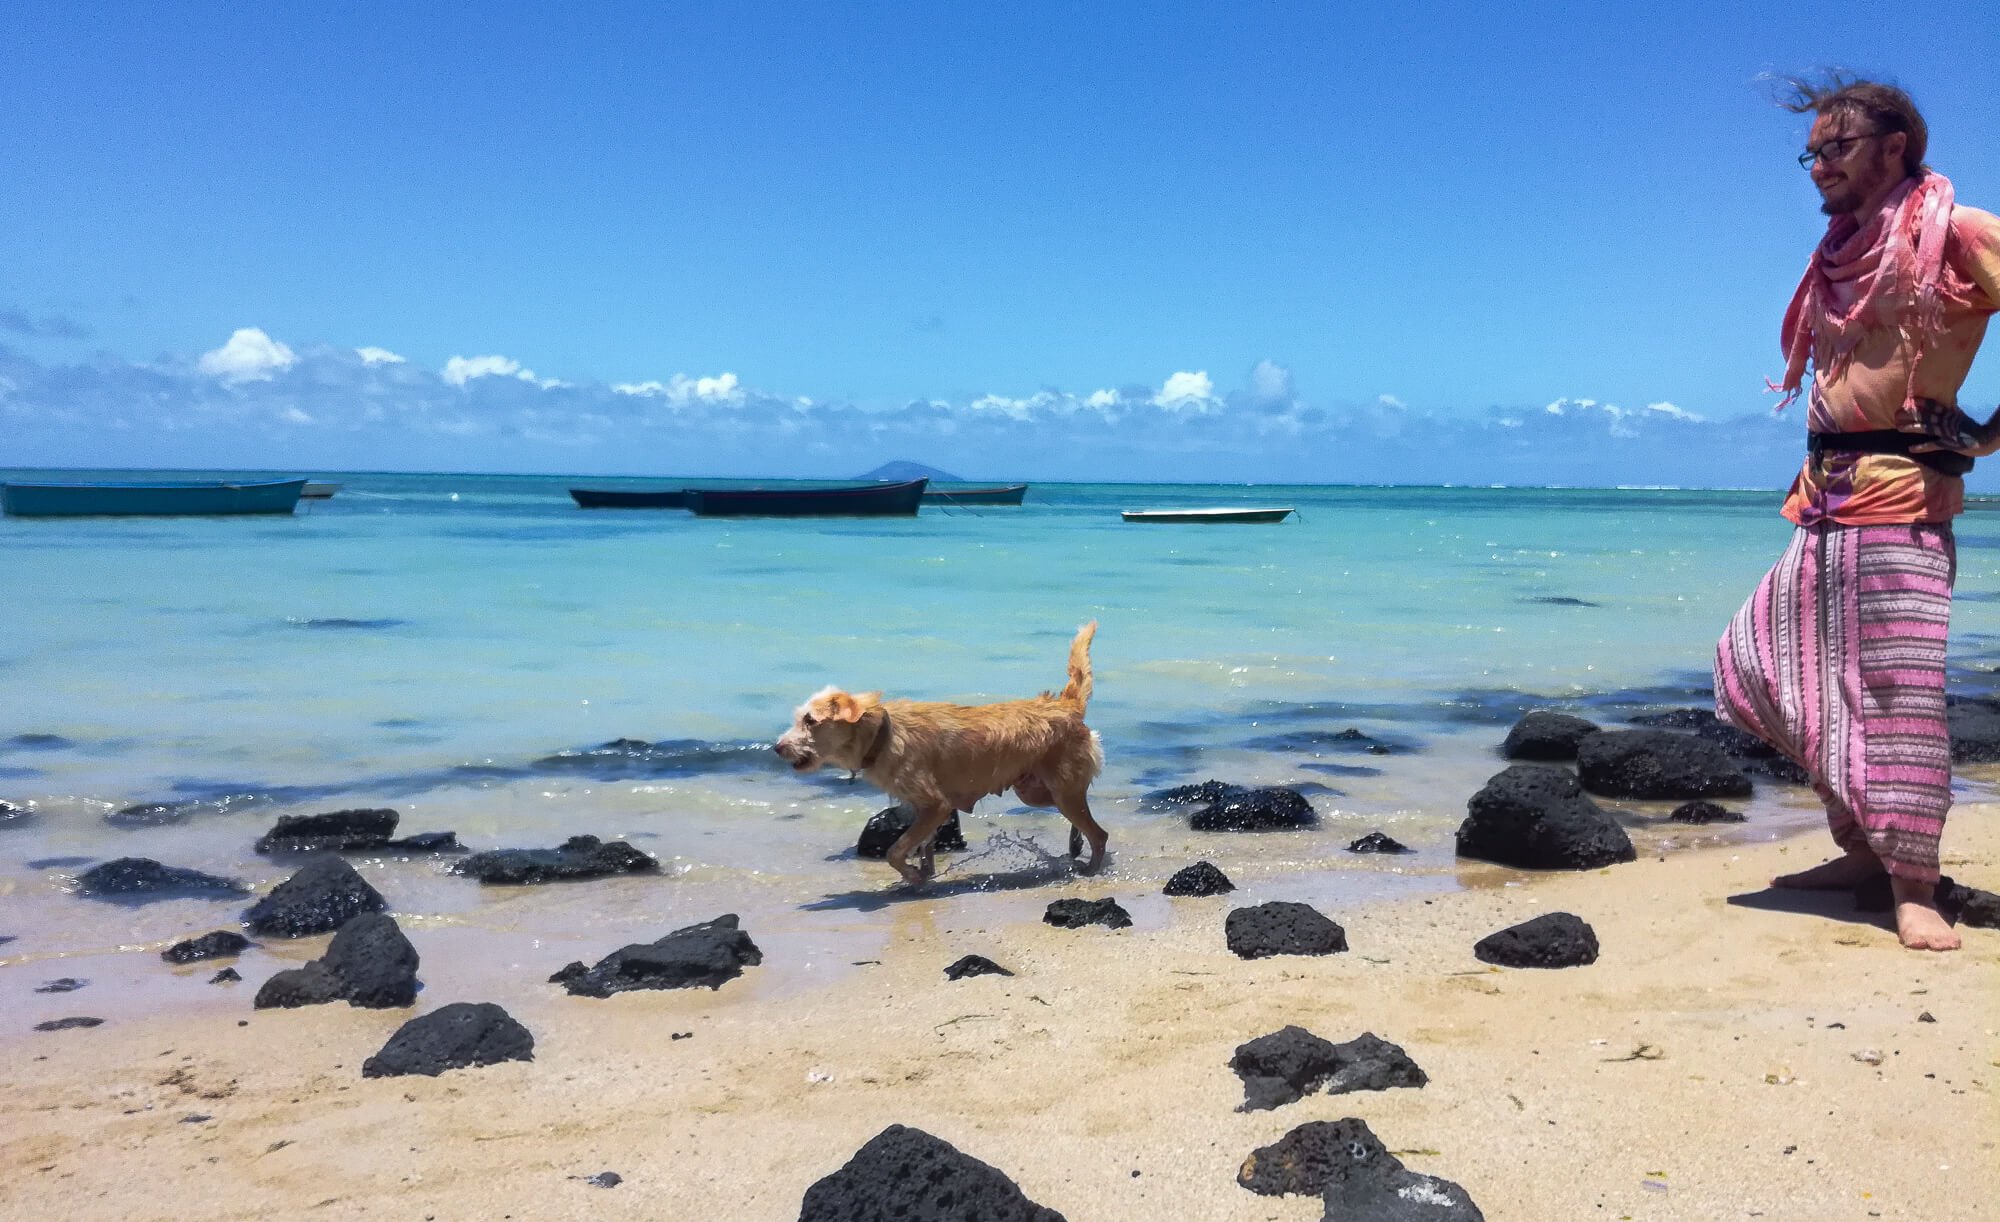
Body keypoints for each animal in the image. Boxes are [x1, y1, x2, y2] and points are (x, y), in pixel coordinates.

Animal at [772, 628, 1112, 884]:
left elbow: (895, 850)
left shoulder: (936, 805)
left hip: (1060, 790)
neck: (882, 735)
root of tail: (1067, 705)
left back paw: (1091, 868)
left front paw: (913, 877)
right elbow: (923, 845)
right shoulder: (923, 809)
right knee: (1082, 820)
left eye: (810, 720)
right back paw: (1076, 845)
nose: (777, 747)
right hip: (1035, 791)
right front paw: (924, 873)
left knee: (1099, 833)